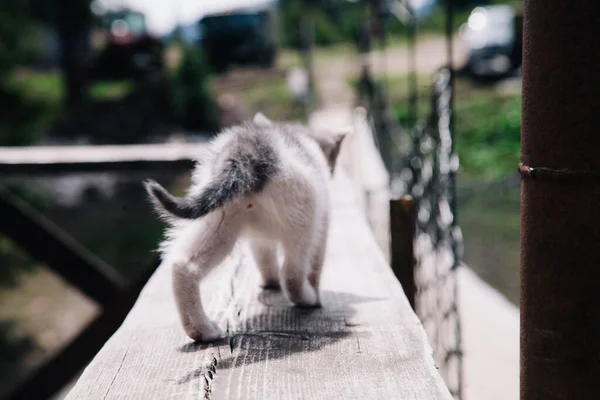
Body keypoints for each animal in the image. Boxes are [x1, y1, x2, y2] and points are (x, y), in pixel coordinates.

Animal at [144, 114, 346, 342]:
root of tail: (245, 154)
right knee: (292, 274)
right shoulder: (323, 219)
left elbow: (264, 258)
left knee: (184, 264)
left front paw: (270, 281)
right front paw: (313, 291)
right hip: (304, 216)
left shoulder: (259, 241)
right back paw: (308, 299)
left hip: (220, 219)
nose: (332, 170)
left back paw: (202, 330)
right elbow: (315, 265)